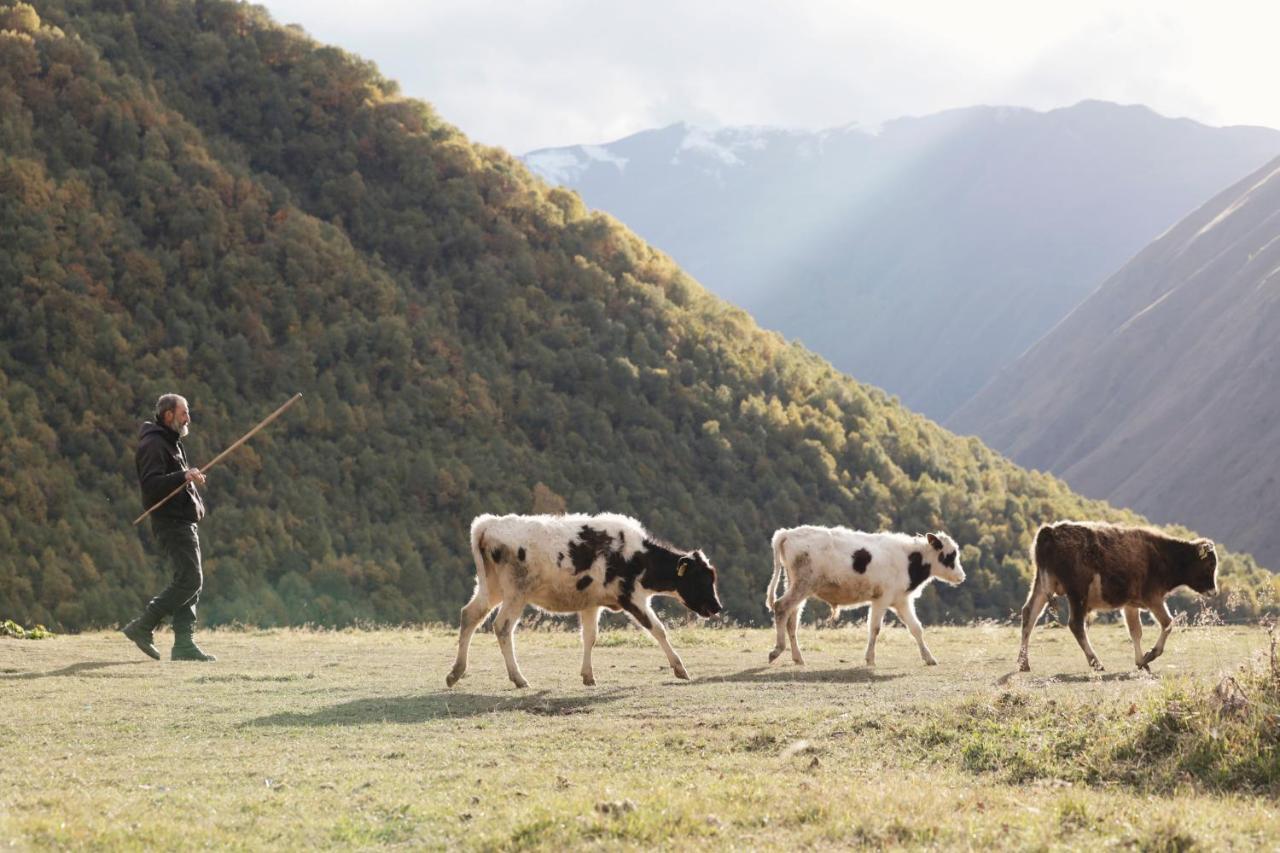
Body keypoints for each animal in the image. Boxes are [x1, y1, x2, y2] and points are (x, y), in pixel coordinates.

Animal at [445, 512, 721, 686]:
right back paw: (518, 679)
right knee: (502, 627)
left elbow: (590, 636)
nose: (717, 607)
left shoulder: (591, 603)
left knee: (469, 615)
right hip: (515, 593)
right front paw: (680, 669)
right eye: (701, 578)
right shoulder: (631, 597)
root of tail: (489, 523)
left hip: (491, 588)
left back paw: (456, 673)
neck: (638, 556)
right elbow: (658, 629)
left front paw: (588, 676)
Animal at [762, 525, 962, 666]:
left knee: (792, 620)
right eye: (950, 556)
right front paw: (870, 659)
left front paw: (929, 658)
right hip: (802, 586)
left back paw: (797, 657)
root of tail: (788, 533)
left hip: (796, 586)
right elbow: (875, 628)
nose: (962, 576)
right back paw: (777, 650)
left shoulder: (902, 600)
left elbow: (916, 628)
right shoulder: (881, 599)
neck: (909, 559)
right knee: (781, 607)